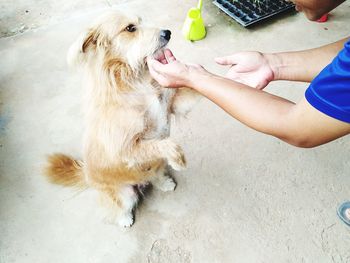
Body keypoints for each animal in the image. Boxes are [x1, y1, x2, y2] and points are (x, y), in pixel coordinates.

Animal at [45, 10, 198, 228]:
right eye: (130, 28)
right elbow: (165, 144)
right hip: (124, 193)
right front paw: (178, 159)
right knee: (118, 206)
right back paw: (124, 219)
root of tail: (86, 175)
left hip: (156, 166)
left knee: (154, 175)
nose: (167, 32)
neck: (137, 81)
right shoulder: (126, 148)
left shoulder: (174, 104)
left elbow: (193, 88)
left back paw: (164, 182)